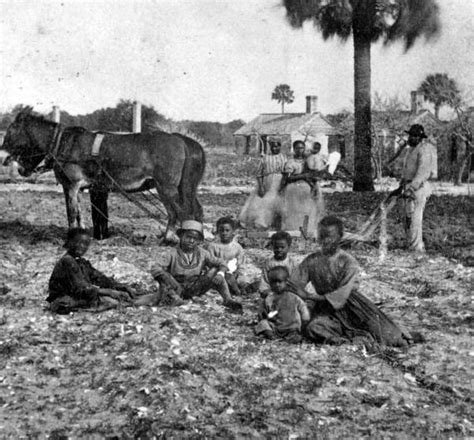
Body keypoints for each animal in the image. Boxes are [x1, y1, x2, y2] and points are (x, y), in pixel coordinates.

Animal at [2, 108, 206, 239]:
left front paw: (70, 236)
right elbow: (79, 212)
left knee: (181, 212)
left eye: (11, 130)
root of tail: (180, 140)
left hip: (166, 188)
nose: (18, 168)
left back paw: (173, 239)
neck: (63, 143)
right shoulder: (77, 187)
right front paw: (81, 233)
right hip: (180, 188)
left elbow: (71, 212)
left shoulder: (72, 185)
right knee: (191, 211)